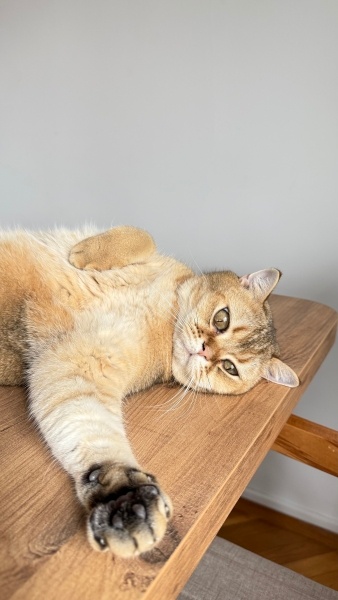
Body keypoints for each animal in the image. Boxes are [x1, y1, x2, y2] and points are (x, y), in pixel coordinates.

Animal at [0, 226, 298, 556]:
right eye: (222, 319)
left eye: (229, 368)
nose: (204, 352)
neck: (166, 318)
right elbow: (143, 235)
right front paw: (84, 253)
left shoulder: (81, 368)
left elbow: (91, 435)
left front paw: (123, 495)